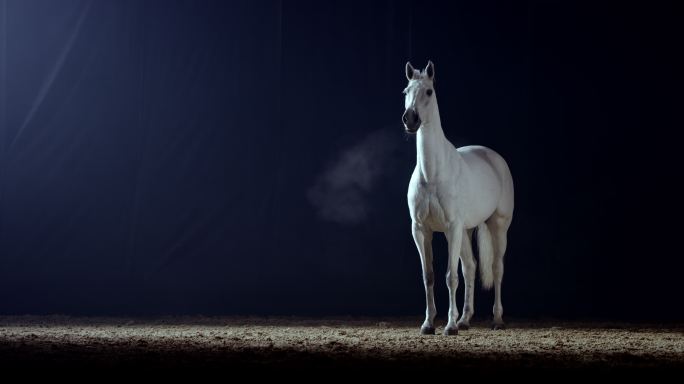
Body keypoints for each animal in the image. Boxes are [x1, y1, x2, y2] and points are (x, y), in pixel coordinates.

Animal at [400, 61, 512, 334]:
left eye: (429, 91)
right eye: (405, 91)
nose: (410, 119)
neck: (432, 174)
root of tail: (494, 158)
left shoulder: (451, 228)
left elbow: (450, 277)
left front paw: (449, 326)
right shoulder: (421, 230)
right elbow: (429, 276)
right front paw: (429, 324)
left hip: (497, 226)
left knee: (497, 268)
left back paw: (496, 320)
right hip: (465, 230)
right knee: (470, 267)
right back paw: (465, 319)